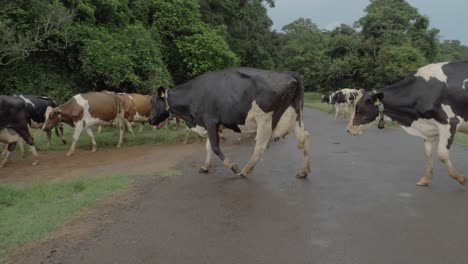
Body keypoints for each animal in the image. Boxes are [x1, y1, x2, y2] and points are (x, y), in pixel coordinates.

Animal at [150, 67, 310, 177]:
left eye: (152, 102)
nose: (150, 120)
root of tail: (290, 74)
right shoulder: (209, 124)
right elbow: (208, 147)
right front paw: (205, 166)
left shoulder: (210, 121)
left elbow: (215, 147)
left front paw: (232, 166)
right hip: (295, 115)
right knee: (304, 139)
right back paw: (304, 171)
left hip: (265, 118)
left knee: (260, 147)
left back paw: (245, 170)